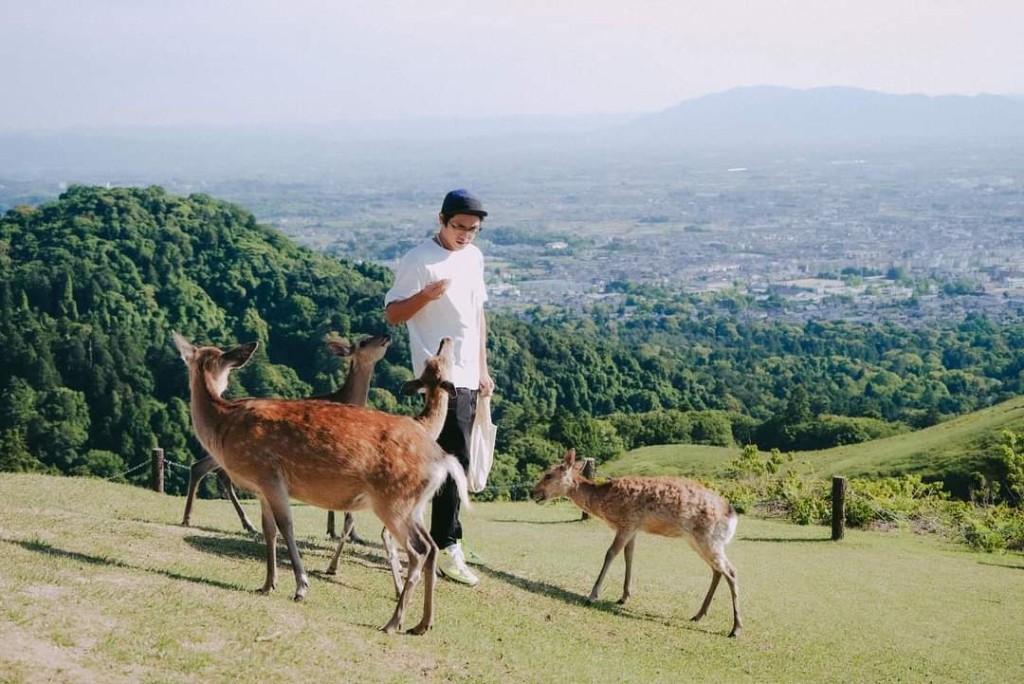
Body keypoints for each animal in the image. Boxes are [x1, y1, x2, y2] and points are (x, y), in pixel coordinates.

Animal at [172, 331, 468, 634]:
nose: (446, 341)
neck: (225, 425)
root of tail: (443, 459)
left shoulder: (269, 474)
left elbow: (287, 527)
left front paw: (301, 587)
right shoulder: (263, 488)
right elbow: (270, 531)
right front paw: (267, 584)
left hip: (394, 500)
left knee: (419, 550)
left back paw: (393, 622)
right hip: (413, 505)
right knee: (431, 547)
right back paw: (422, 624)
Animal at [532, 448, 741, 634]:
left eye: (548, 475)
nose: (533, 492)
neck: (604, 501)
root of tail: (732, 516)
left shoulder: (628, 522)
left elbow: (610, 553)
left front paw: (592, 595)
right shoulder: (633, 528)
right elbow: (629, 555)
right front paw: (624, 596)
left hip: (708, 538)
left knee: (731, 571)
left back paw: (735, 628)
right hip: (698, 541)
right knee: (717, 570)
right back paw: (698, 614)